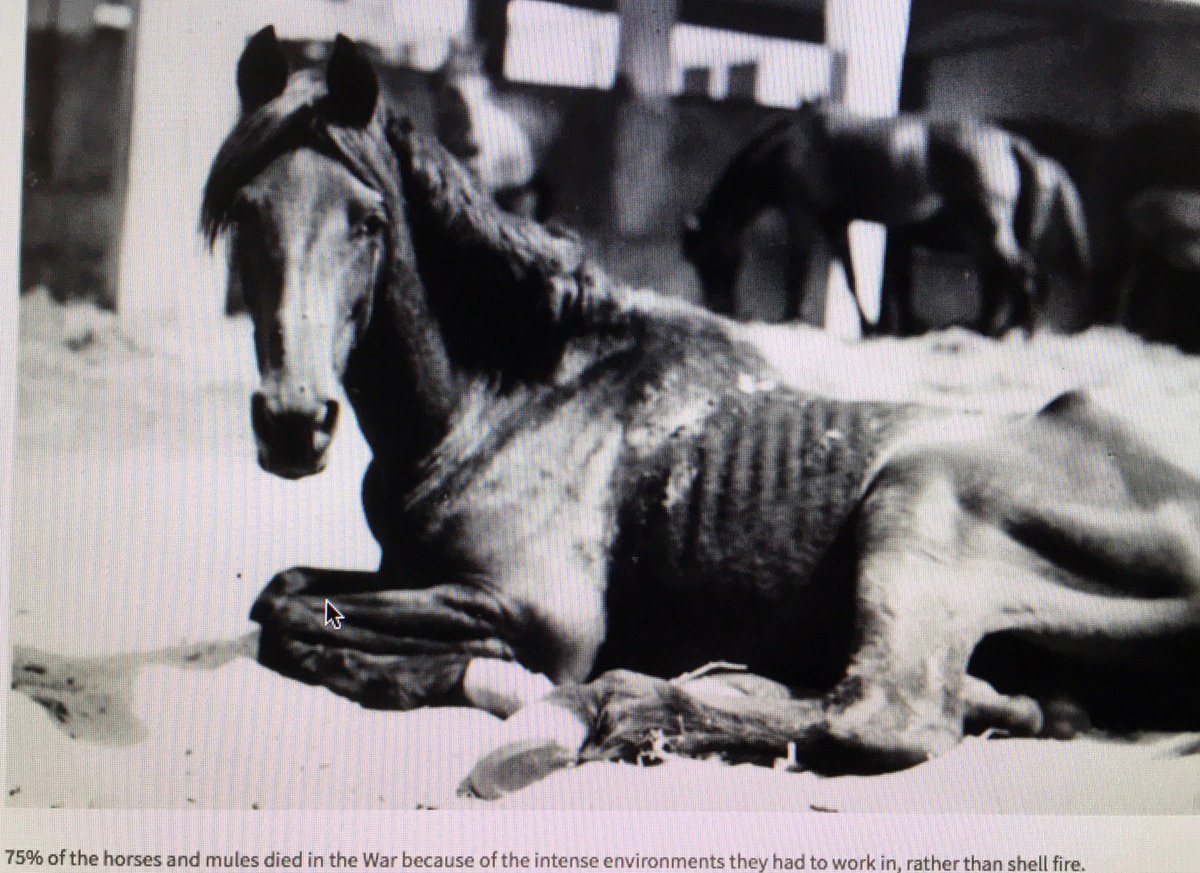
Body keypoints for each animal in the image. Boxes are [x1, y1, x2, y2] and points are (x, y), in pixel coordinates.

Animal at [682, 108, 1091, 337]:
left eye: (707, 258)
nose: (718, 308)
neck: (790, 145)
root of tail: (1009, 143)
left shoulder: (802, 219)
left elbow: (798, 271)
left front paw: (791, 320)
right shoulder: (837, 225)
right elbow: (851, 277)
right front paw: (871, 327)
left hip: (991, 235)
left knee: (1024, 277)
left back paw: (1019, 331)